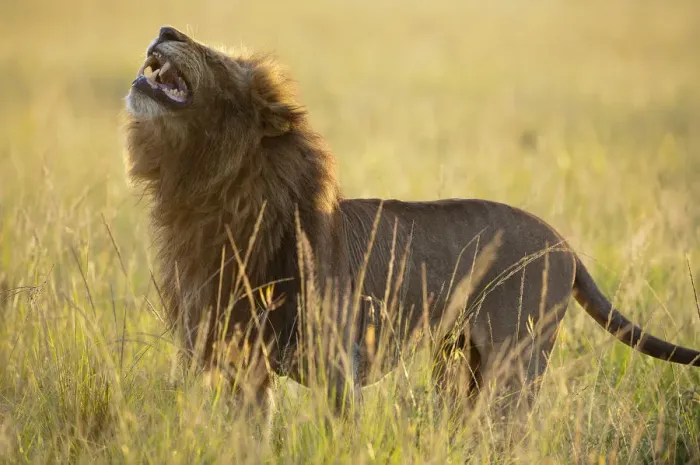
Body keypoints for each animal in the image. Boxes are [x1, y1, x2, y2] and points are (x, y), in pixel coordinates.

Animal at [124, 26, 700, 418]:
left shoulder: (338, 365)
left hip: (516, 361)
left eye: (214, 57)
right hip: (460, 360)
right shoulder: (237, 363)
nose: (167, 30)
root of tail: (566, 246)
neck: (207, 190)